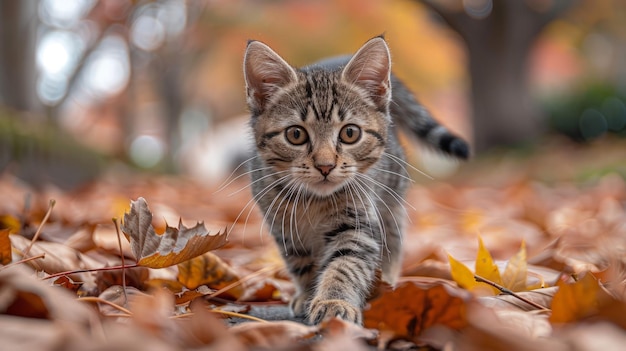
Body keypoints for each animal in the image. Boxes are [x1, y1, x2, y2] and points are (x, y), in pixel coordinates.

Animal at [241, 35, 466, 324]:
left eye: (350, 133)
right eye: (295, 135)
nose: (325, 165)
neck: (313, 202)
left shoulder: (358, 223)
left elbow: (346, 263)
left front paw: (333, 300)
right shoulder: (283, 227)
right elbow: (301, 263)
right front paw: (308, 294)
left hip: (391, 205)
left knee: (392, 244)